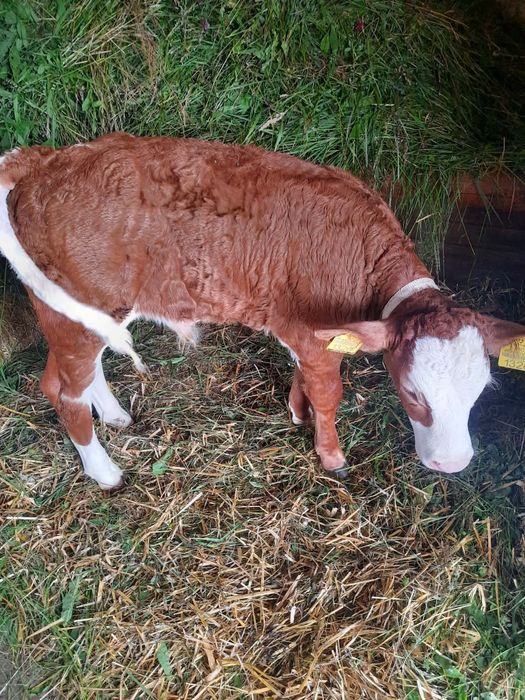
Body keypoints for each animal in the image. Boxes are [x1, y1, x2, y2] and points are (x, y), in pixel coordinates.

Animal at [0, 133, 523, 489]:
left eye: (480, 391)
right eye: (412, 393)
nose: (453, 464)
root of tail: (45, 160)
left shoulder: (305, 330)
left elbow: (304, 377)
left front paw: (296, 409)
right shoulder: (314, 333)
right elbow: (329, 393)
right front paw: (331, 456)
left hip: (90, 312)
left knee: (82, 374)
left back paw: (114, 416)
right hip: (71, 315)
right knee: (62, 390)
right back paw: (105, 471)